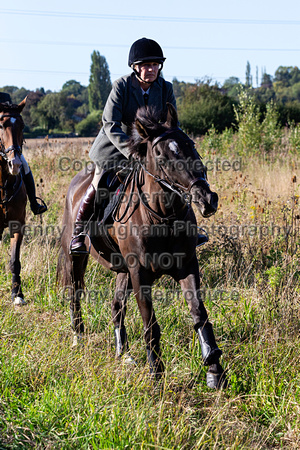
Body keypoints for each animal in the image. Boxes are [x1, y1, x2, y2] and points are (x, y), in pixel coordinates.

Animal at [58, 104, 226, 386]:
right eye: (160, 155)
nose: (206, 199)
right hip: (77, 259)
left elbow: (199, 314)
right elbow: (150, 324)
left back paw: (123, 354)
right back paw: (78, 338)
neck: (161, 217)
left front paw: (214, 369)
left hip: (123, 271)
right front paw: (156, 373)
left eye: (190, 145)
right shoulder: (140, 273)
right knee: (75, 295)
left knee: (116, 307)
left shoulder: (187, 265)